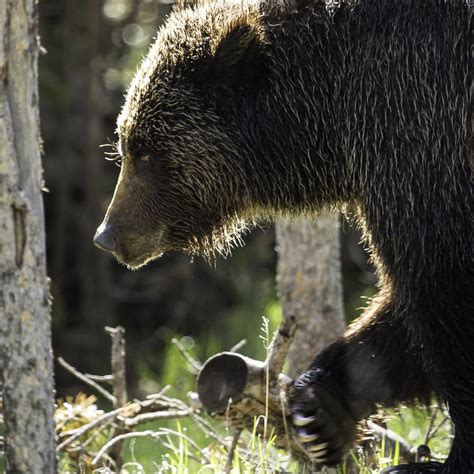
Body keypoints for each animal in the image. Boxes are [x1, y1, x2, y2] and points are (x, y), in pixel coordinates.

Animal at [94, 1, 472, 472]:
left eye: (143, 150)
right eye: (126, 142)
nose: (107, 234)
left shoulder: (420, 132)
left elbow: (439, 284)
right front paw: (322, 410)